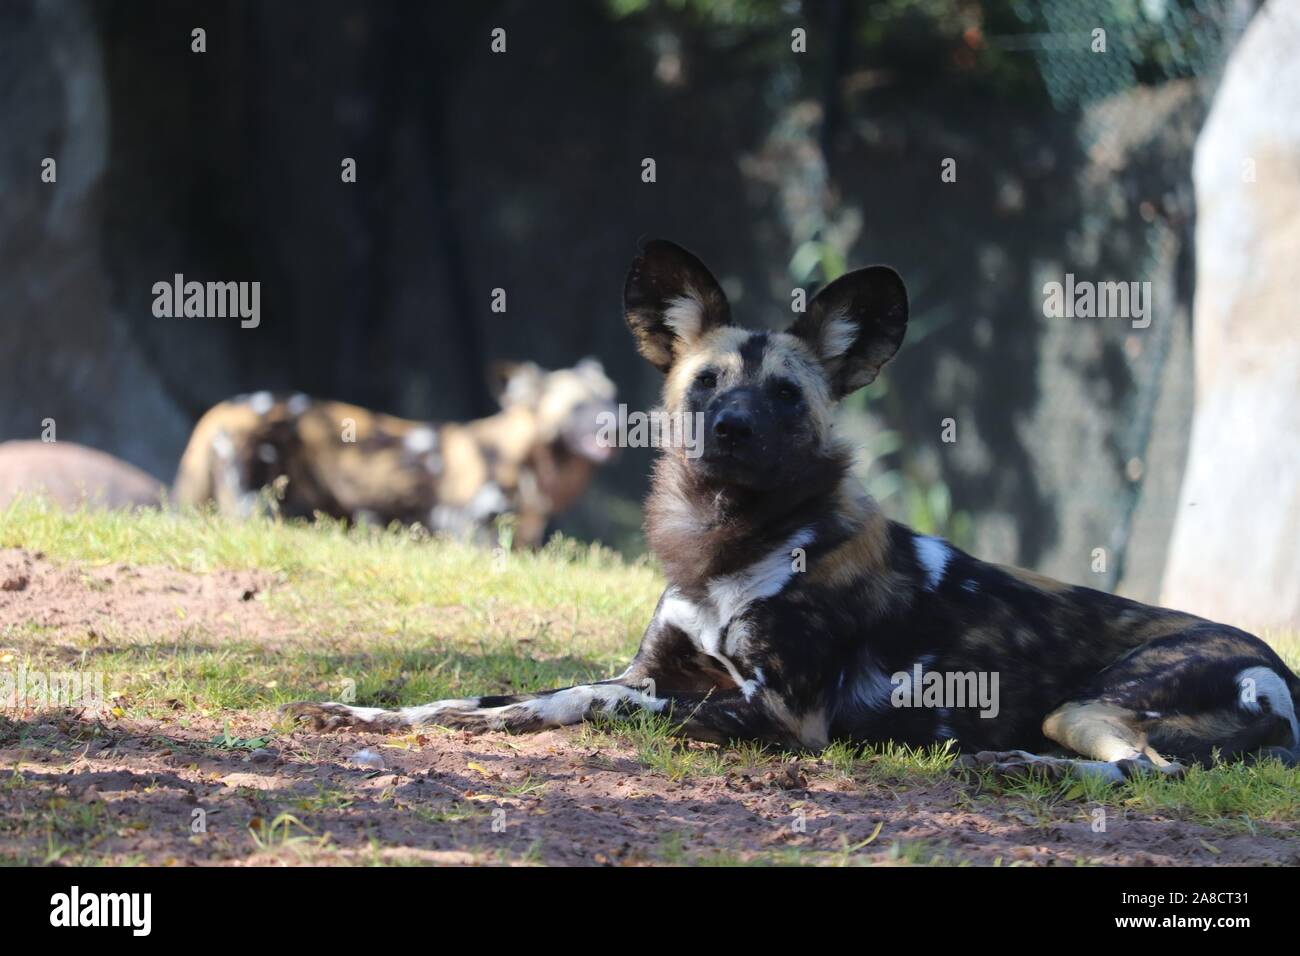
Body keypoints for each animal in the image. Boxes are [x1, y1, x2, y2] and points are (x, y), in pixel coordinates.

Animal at [175, 358, 616, 548]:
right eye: (579, 407)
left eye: (610, 397)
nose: (613, 422)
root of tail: (224, 408)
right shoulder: (469, 532)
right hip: (253, 506)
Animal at [287, 243, 1300, 780]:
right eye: (706, 383)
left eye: (784, 396)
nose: (731, 428)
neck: (725, 548)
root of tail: (1280, 668)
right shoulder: (658, 666)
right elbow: (489, 695)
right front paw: (373, 714)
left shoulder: (776, 715)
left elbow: (592, 700)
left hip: (1092, 705)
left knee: (1148, 771)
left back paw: (1014, 767)